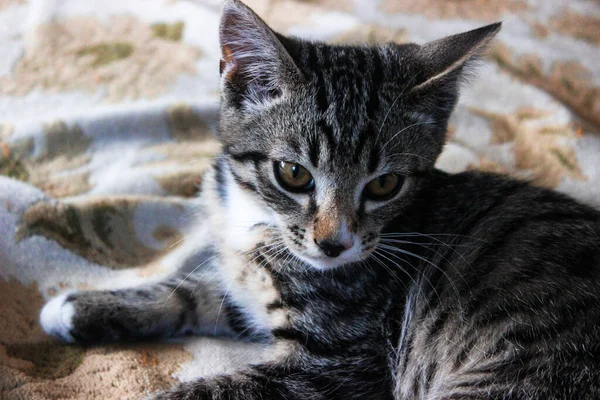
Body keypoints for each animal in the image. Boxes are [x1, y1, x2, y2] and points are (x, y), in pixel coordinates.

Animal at [39, 1, 600, 398]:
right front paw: (83, 307)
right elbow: (194, 292)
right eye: (293, 174)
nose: (335, 244)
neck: (256, 220)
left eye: (384, 185)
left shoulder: (340, 361)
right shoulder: (243, 276)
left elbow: (218, 388)